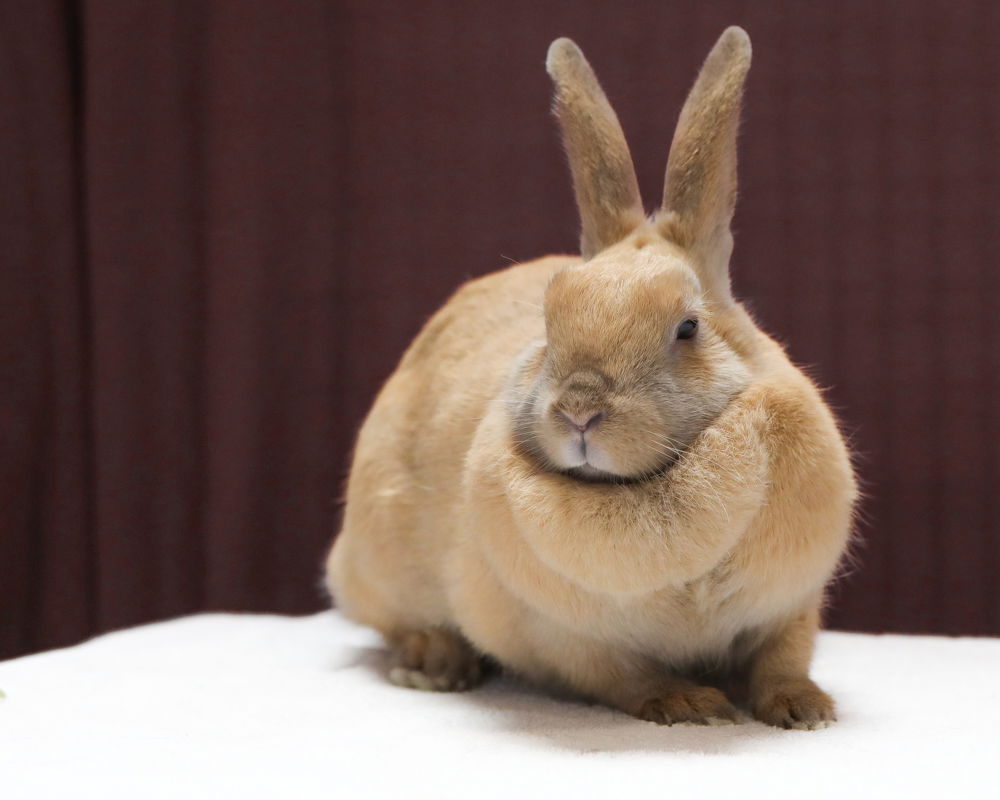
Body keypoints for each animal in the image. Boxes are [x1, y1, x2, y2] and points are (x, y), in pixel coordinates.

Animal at [324, 26, 856, 732]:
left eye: (687, 327)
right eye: (548, 325)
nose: (579, 411)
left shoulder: (791, 605)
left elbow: (783, 659)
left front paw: (804, 710)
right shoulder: (569, 643)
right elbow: (624, 678)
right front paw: (690, 704)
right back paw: (434, 665)